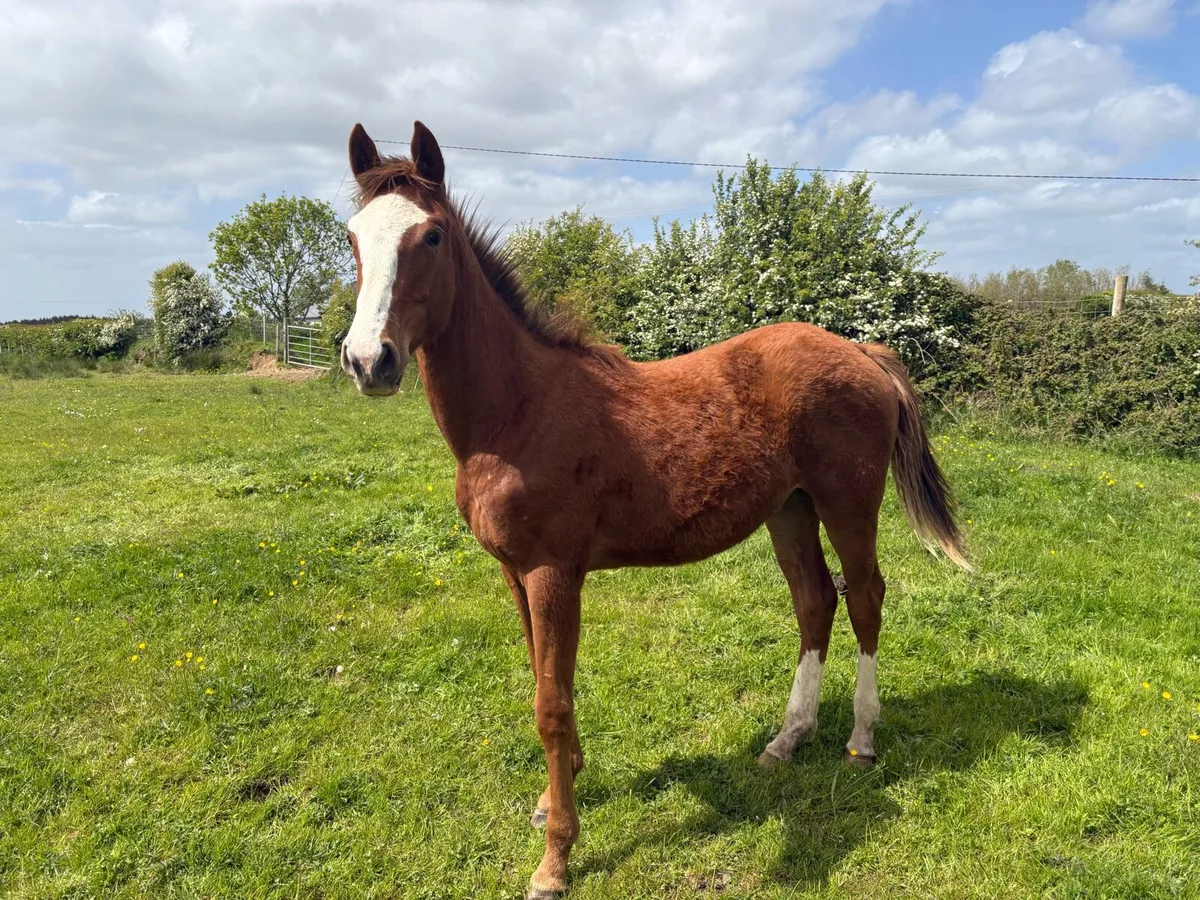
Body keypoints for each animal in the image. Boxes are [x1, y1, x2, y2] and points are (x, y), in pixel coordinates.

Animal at [338, 120, 970, 899]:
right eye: (352, 237)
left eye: (429, 236)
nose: (369, 361)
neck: (516, 413)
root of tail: (861, 351)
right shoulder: (515, 573)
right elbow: (544, 678)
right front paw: (555, 796)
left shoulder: (553, 571)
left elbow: (552, 703)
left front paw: (555, 858)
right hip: (789, 510)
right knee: (815, 600)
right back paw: (787, 739)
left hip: (846, 504)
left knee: (866, 597)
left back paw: (860, 740)